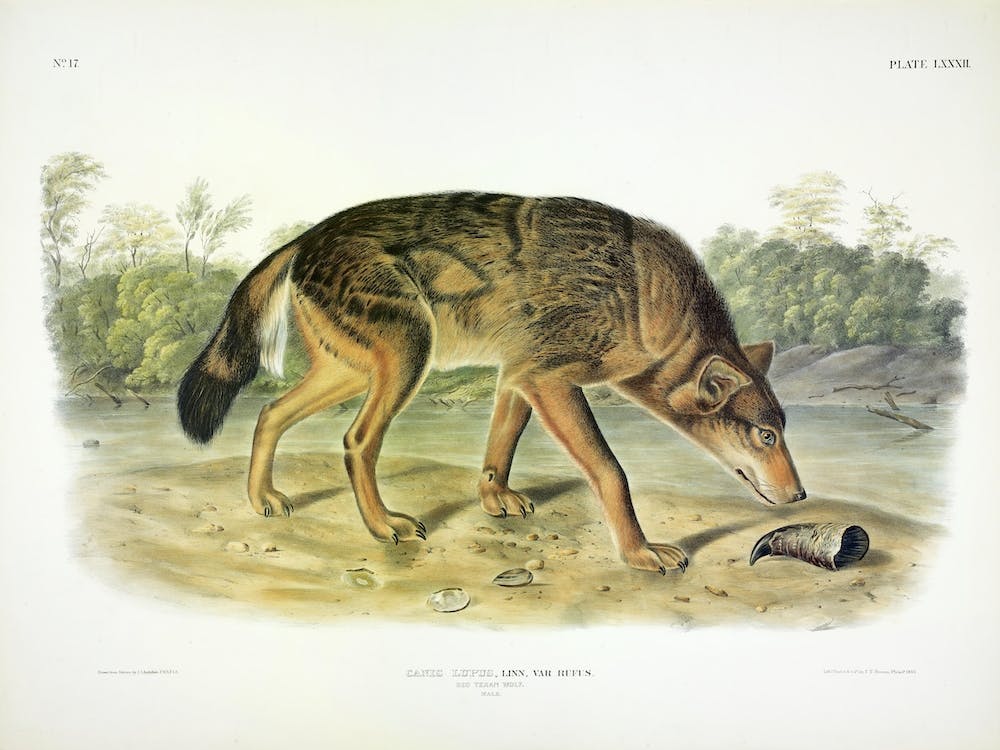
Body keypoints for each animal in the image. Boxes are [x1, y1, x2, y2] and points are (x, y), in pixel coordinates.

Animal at [178, 192, 805, 574]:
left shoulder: (521, 374)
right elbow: (611, 472)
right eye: (764, 436)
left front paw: (493, 498)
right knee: (357, 441)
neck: (650, 301)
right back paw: (383, 526)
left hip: (352, 370)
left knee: (270, 413)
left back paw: (262, 498)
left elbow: (499, 444)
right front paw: (638, 551)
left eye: (782, 429)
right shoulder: (549, 378)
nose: (801, 496)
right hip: (406, 358)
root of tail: (305, 238)